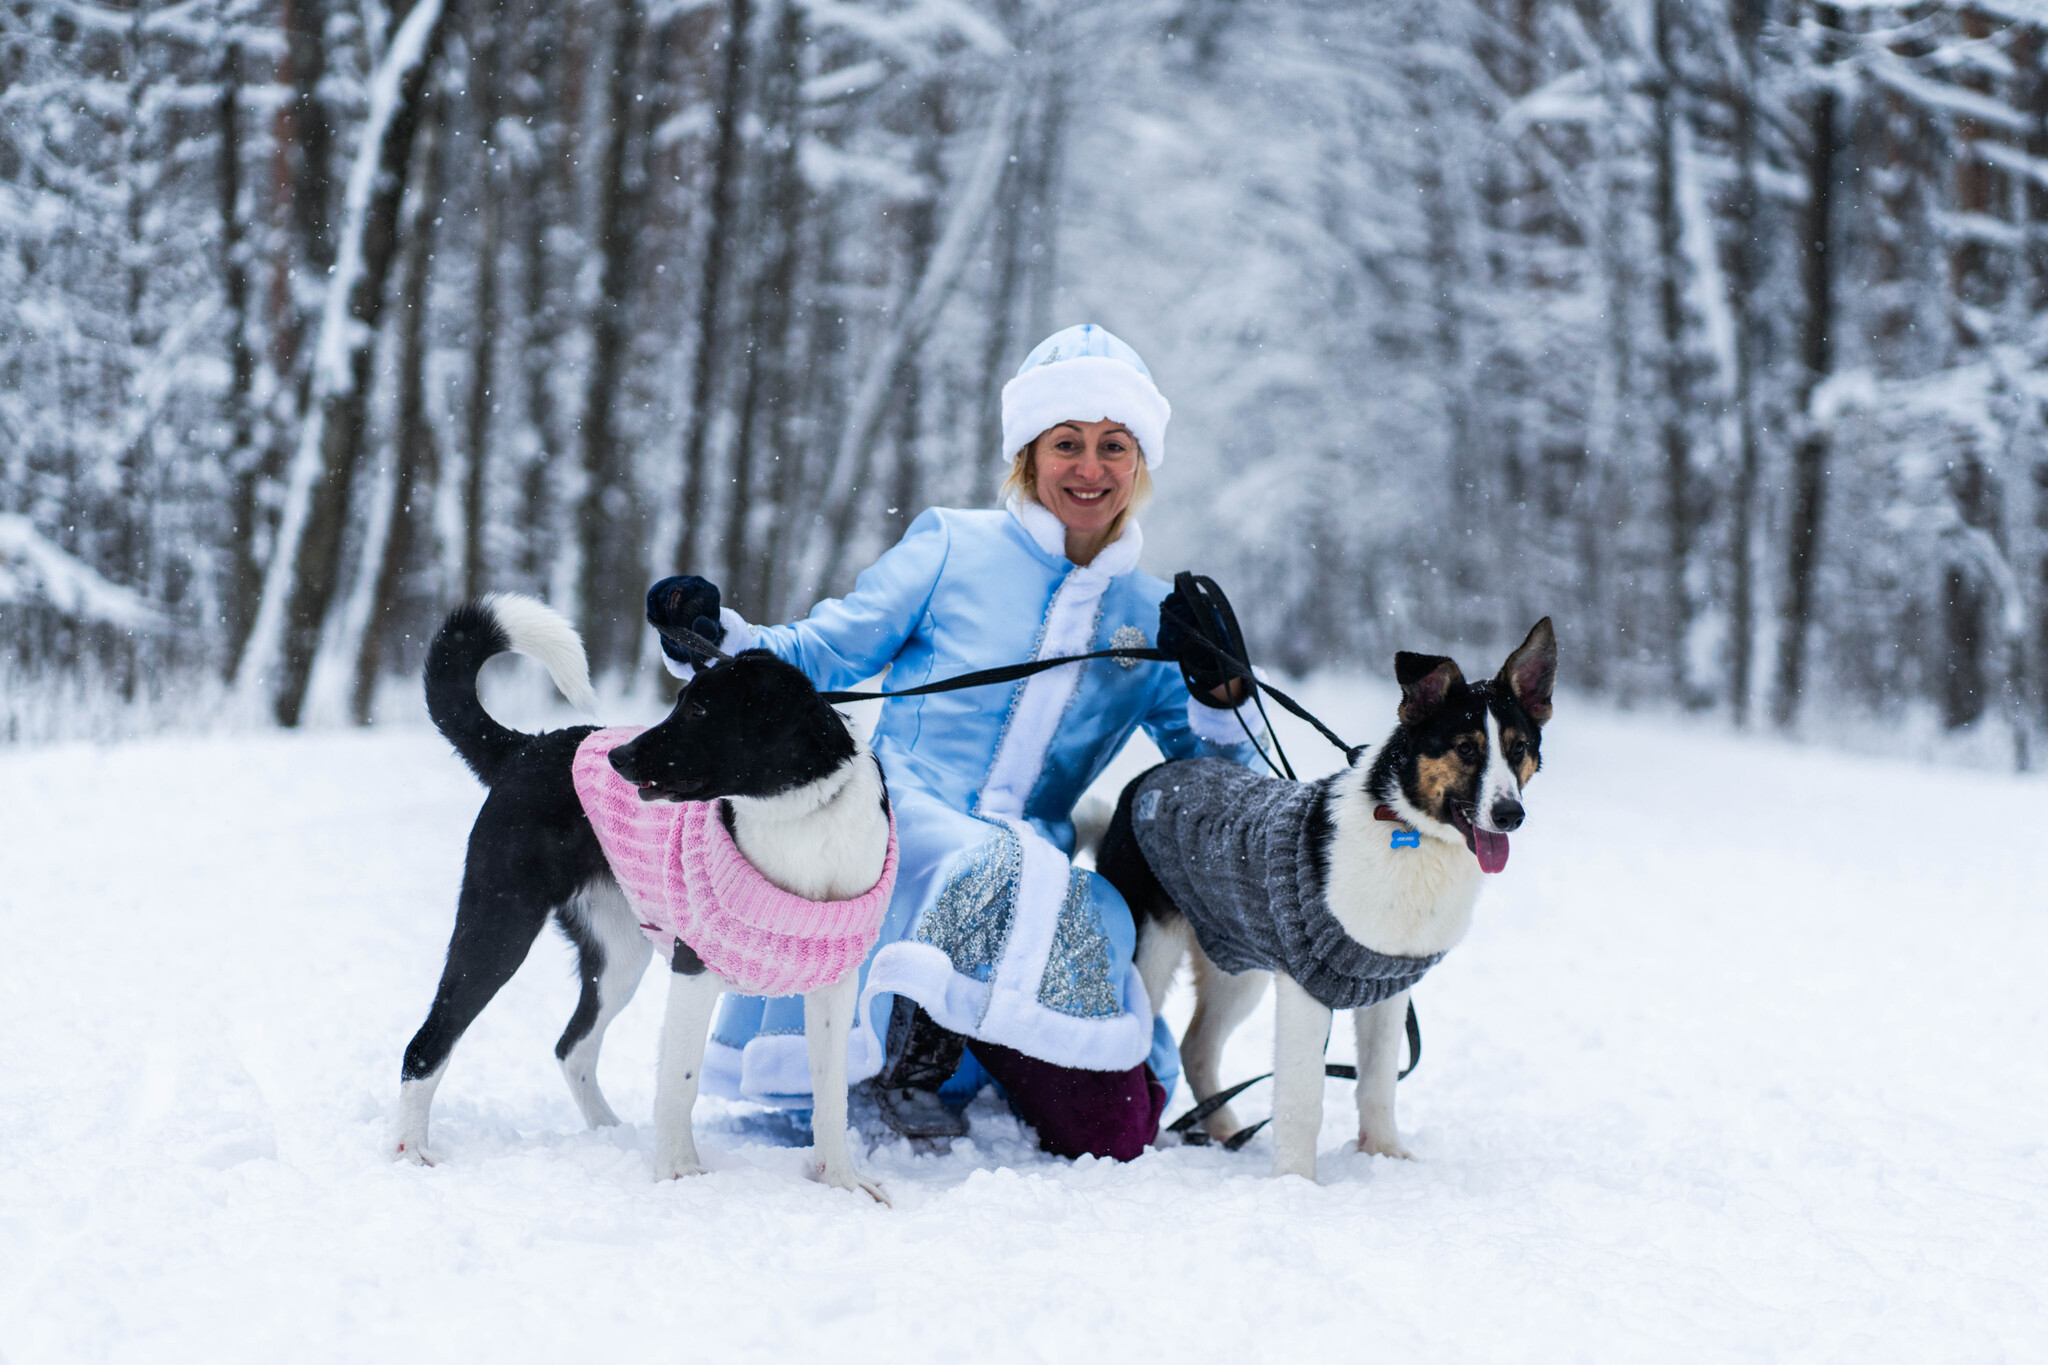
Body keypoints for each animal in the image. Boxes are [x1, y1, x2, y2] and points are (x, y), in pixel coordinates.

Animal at [391, 593, 888, 1203]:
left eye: (700, 712)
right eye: (680, 704)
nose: (619, 757)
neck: (801, 818)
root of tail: (528, 747)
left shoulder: (835, 986)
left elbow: (831, 1093)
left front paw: (841, 1180)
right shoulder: (694, 968)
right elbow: (680, 1079)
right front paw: (678, 1173)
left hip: (617, 961)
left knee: (572, 1047)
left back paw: (610, 1134)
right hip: (499, 928)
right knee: (427, 1043)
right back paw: (411, 1149)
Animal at [1105, 626, 1548, 1178]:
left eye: (1519, 747)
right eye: (1466, 748)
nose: (1510, 814)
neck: (1407, 830)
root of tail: (1145, 782)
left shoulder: (1387, 986)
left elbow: (1377, 1084)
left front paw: (1384, 1155)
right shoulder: (1306, 986)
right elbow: (1301, 1098)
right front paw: (1295, 1181)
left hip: (1239, 968)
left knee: (1197, 1047)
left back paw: (1225, 1130)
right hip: (1150, 953)